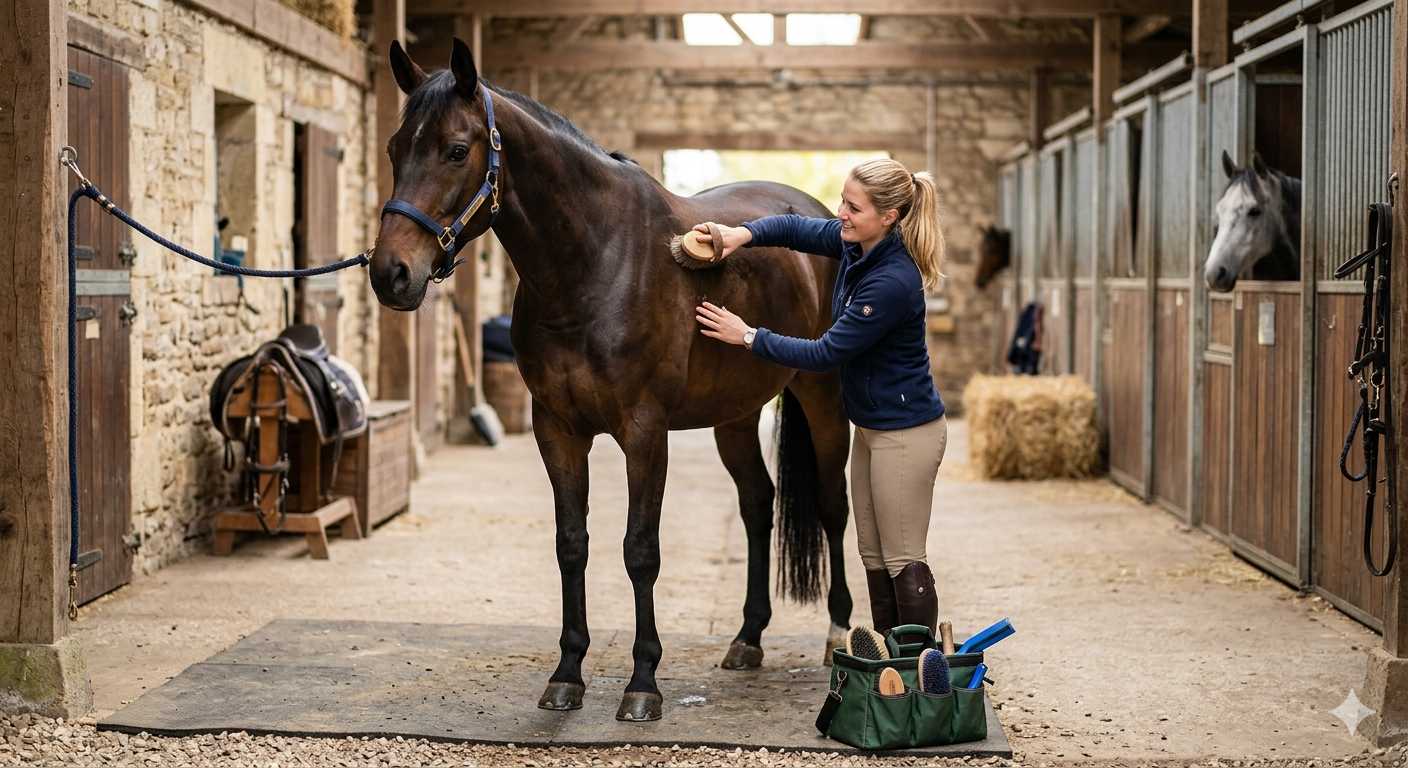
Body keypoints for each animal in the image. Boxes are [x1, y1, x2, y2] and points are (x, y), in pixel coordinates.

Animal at [368, 38, 854, 723]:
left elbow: (639, 549)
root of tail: (821, 218)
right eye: (393, 149)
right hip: (733, 414)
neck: (594, 262)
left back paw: (838, 633)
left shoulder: (645, 432)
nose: (390, 273)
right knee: (758, 504)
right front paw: (567, 673)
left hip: (823, 397)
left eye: (456, 150)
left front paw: (643, 682)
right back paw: (747, 638)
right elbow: (572, 543)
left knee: (834, 505)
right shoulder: (557, 429)